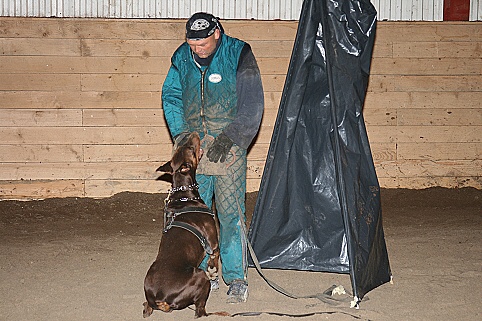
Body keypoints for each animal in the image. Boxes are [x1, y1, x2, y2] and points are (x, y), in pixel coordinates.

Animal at [142, 132, 219, 318]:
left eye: (183, 147)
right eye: (190, 147)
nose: (194, 133)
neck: (184, 196)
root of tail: (158, 298)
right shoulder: (212, 240)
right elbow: (215, 256)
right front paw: (213, 270)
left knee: (147, 308)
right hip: (200, 277)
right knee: (200, 309)